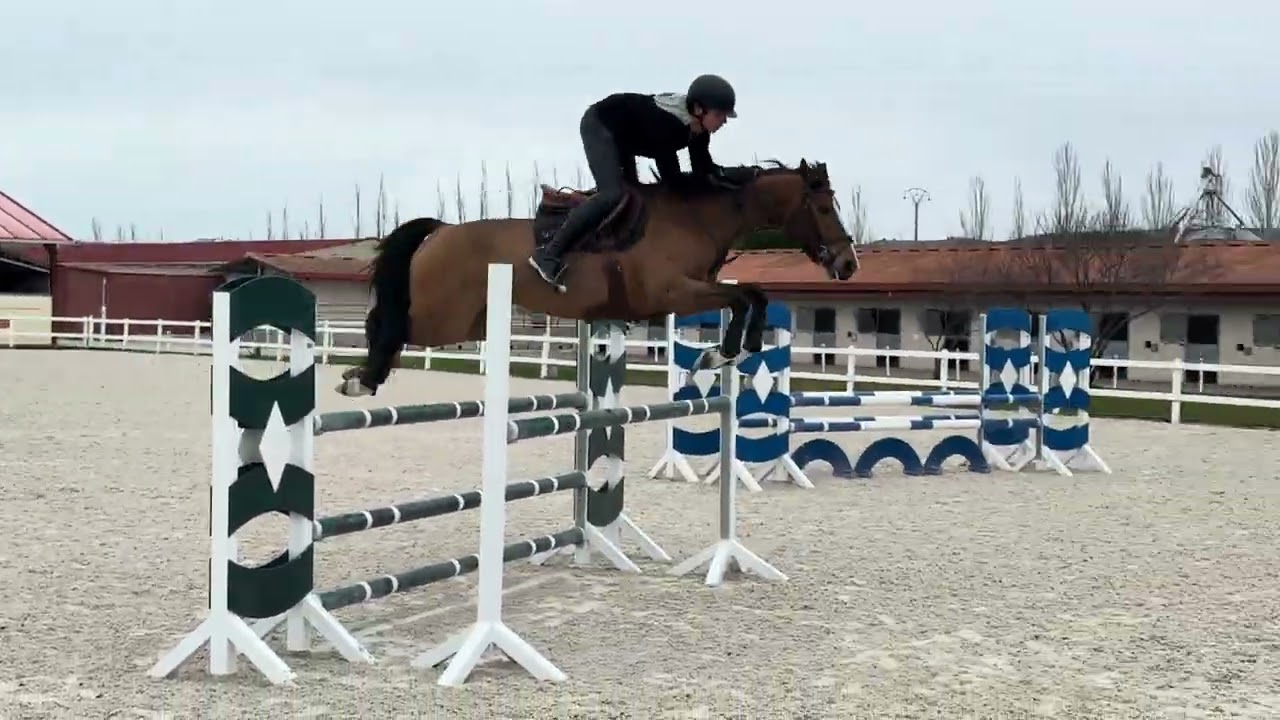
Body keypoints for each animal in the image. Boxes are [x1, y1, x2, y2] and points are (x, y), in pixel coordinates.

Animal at [337, 159, 859, 397]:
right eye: (823, 207)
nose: (848, 263)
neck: (695, 218)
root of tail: (440, 231)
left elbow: (753, 295)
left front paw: (731, 352)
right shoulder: (673, 293)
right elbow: (743, 297)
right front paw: (722, 353)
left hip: (469, 321)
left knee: (388, 326)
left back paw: (364, 376)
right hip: (443, 317)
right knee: (386, 324)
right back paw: (361, 379)